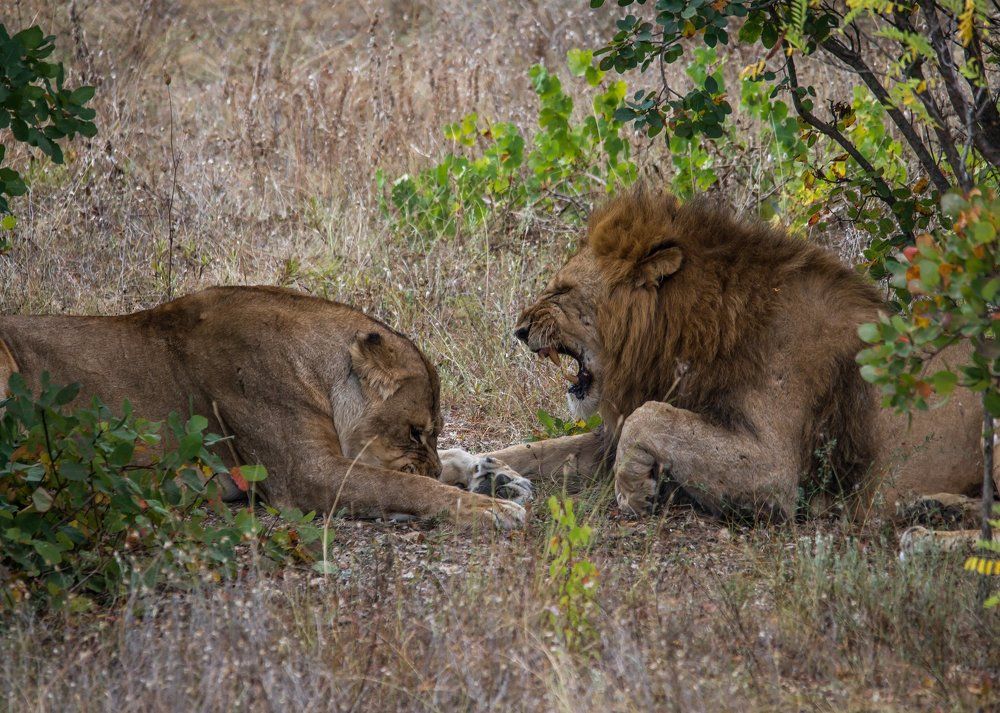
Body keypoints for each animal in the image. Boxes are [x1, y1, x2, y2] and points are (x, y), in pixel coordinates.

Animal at [0, 286, 530, 529]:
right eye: (415, 431)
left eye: (434, 431)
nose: (432, 462)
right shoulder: (305, 475)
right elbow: (405, 486)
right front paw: (494, 507)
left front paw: (494, 474)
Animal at [481, 188, 994, 523]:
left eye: (561, 290)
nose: (518, 330)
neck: (693, 329)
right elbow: (536, 451)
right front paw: (489, 473)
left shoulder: (775, 468)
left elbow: (649, 417)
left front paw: (635, 490)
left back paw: (936, 512)